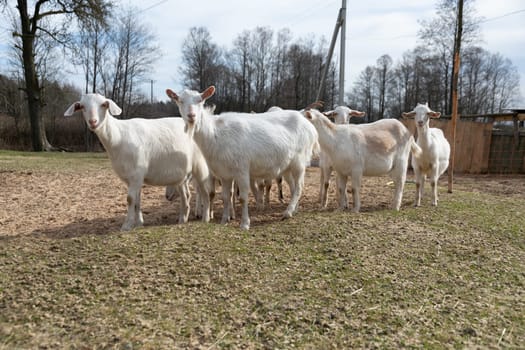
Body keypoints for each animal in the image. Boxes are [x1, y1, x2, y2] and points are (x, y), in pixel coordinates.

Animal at [63, 93, 213, 230]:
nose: (93, 122)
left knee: (205, 191)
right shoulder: (134, 177)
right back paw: (182, 219)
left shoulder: (136, 174)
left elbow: (130, 199)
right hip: (181, 174)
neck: (118, 137)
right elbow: (137, 200)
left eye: (104, 105)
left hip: (201, 166)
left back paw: (205, 217)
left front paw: (127, 225)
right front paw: (139, 223)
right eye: (82, 107)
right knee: (186, 195)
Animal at [166, 86, 318, 230]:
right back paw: (294, 210)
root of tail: (309, 126)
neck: (215, 134)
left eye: (200, 100)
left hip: (300, 160)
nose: (191, 116)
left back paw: (287, 212)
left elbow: (243, 198)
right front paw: (224, 220)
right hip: (287, 165)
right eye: (180, 100)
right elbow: (225, 197)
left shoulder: (242, 169)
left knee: (299, 186)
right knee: (293, 186)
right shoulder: (224, 173)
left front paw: (245, 224)